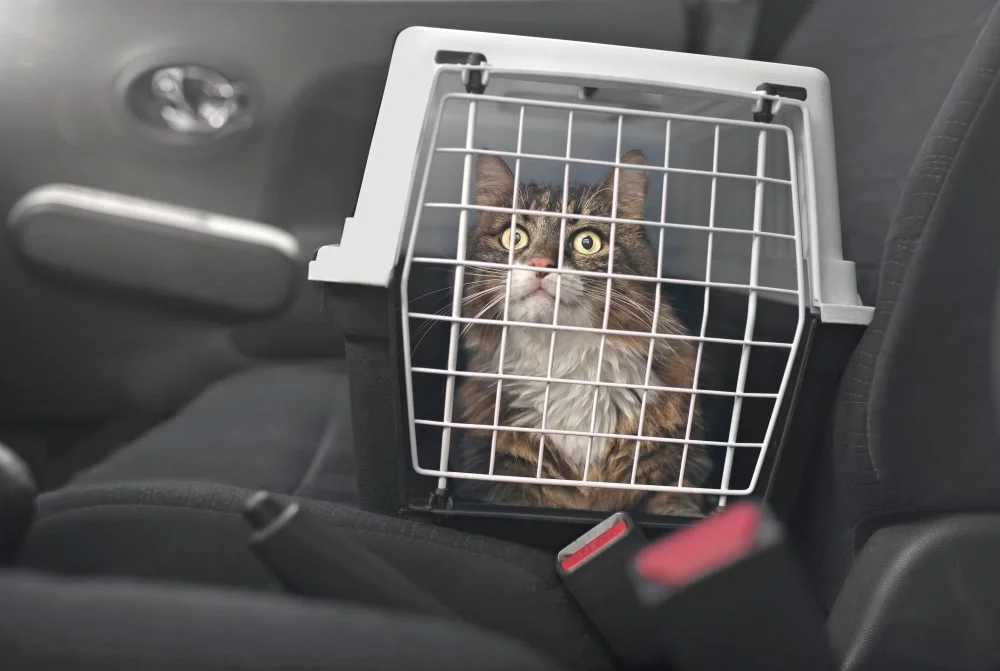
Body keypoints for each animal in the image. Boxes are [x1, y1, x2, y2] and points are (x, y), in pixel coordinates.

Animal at [454, 150, 712, 516]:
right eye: (514, 236)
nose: (540, 265)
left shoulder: (676, 474)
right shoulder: (504, 481)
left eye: (587, 242)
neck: (562, 362)